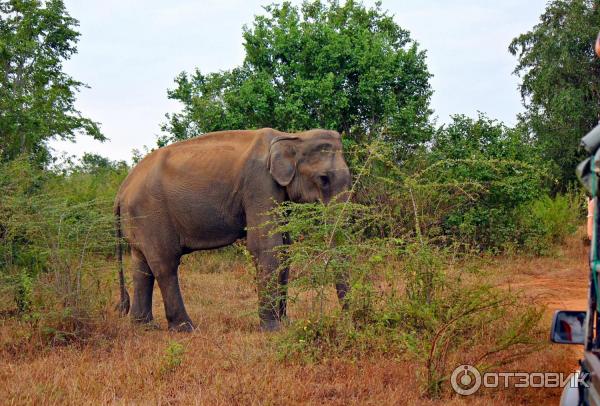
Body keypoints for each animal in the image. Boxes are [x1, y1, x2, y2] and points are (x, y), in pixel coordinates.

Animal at [113, 128, 352, 332]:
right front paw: (274, 329)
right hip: (151, 214)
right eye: (323, 179)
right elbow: (265, 246)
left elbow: (284, 248)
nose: (347, 320)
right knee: (165, 264)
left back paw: (144, 326)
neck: (293, 137)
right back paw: (186, 329)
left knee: (142, 265)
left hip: (139, 220)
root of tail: (122, 188)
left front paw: (286, 323)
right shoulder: (259, 184)